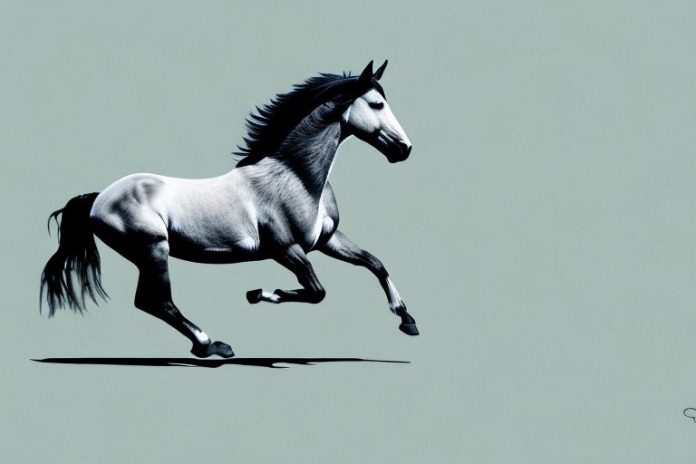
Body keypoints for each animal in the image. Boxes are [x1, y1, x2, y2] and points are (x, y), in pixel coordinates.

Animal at [40, 60, 418, 358]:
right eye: (377, 104)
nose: (404, 149)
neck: (293, 177)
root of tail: (98, 198)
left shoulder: (327, 240)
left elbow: (374, 263)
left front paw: (407, 320)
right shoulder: (284, 249)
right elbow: (316, 292)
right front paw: (259, 293)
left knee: (152, 302)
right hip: (153, 250)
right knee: (155, 302)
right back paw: (211, 346)